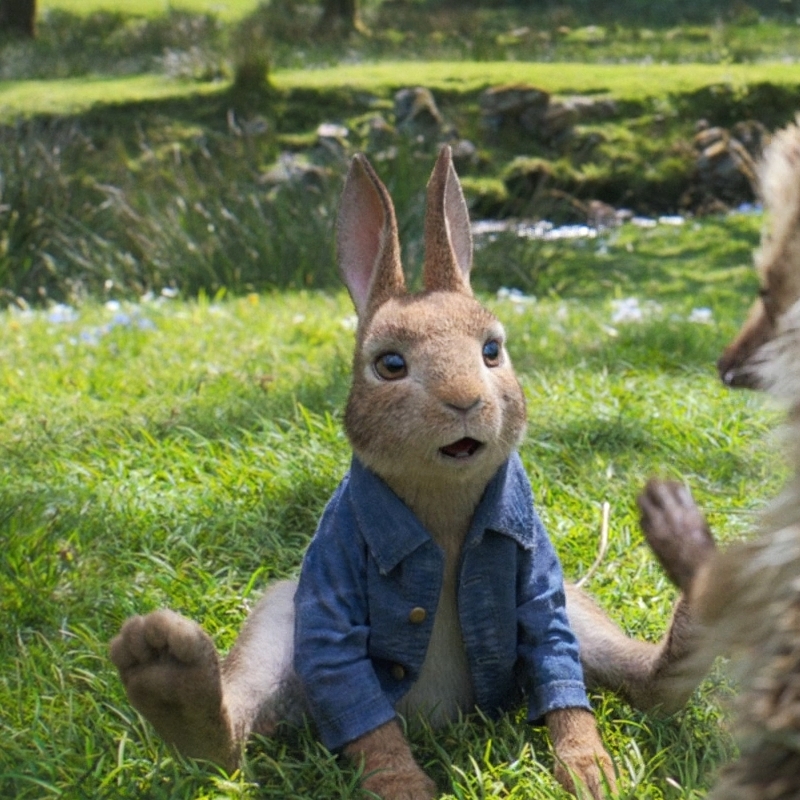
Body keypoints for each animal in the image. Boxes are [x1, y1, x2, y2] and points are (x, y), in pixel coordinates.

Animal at [111, 146, 717, 799]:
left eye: (492, 351)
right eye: (390, 365)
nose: (464, 400)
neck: (443, 504)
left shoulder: (541, 586)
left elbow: (559, 668)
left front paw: (587, 769)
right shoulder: (332, 594)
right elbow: (357, 701)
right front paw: (404, 785)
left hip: (577, 612)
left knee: (639, 680)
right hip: (280, 625)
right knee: (236, 732)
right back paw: (167, 676)